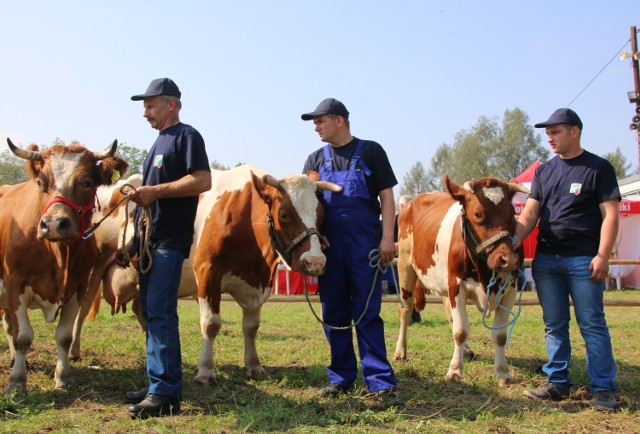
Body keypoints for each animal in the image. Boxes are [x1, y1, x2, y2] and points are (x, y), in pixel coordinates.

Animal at [398, 175, 528, 384]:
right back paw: (400, 351)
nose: (509, 259)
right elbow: (460, 332)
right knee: (406, 310)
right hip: (406, 266)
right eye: (478, 214)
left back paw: (466, 351)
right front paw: (455, 371)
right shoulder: (457, 286)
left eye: (512, 215)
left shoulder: (510, 290)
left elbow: (499, 335)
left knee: (449, 314)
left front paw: (503, 372)